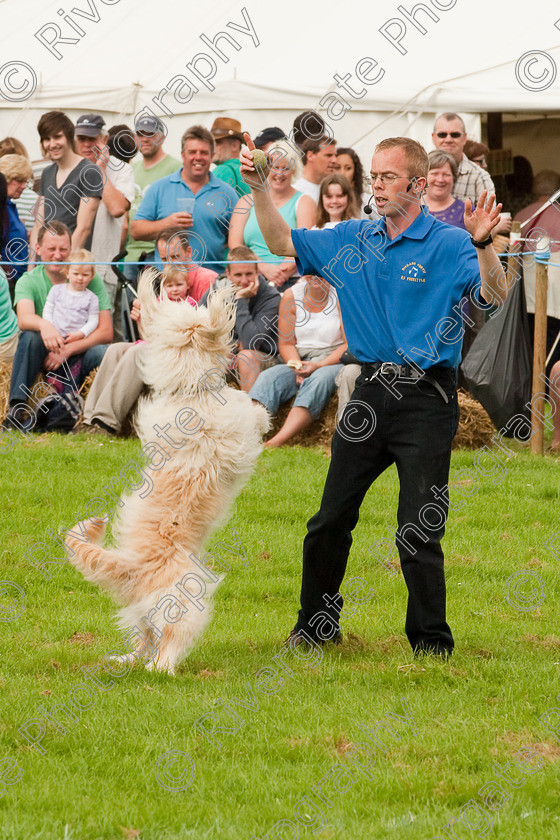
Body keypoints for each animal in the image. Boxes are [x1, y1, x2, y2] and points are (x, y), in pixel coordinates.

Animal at [64, 270, 270, 676]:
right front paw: (265, 416)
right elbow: (251, 416)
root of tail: (130, 565)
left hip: (142, 610)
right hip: (184, 602)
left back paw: (125, 658)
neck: (190, 392)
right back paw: (164, 668)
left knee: (144, 638)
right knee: (165, 647)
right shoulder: (236, 431)